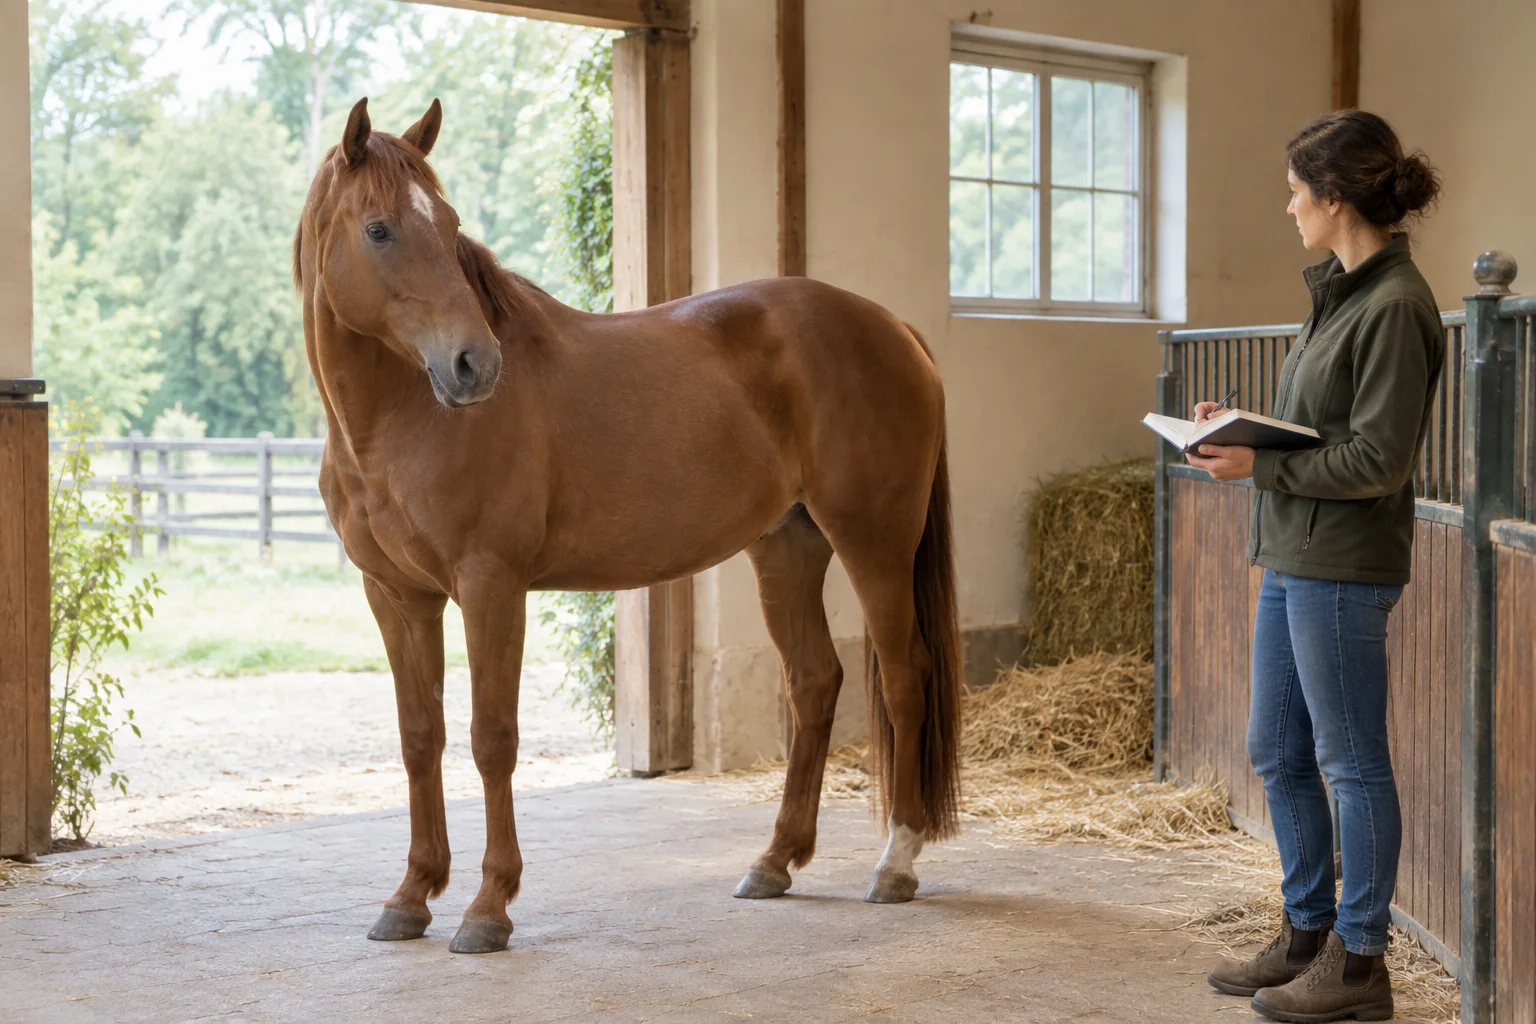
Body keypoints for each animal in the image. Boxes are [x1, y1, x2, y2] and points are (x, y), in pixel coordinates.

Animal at [293, 97, 962, 954]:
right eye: (379, 229)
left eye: (448, 225)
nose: (476, 365)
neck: (399, 421)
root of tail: (893, 327)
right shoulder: (397, 597)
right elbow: (420, 737)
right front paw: (411, 896)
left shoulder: (490, 586)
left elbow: (491, 736)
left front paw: (488, 906)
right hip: (787, 547)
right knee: (815, 682)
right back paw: (774, 861)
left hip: (875, 542)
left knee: (907, 678)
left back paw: (895, 864)